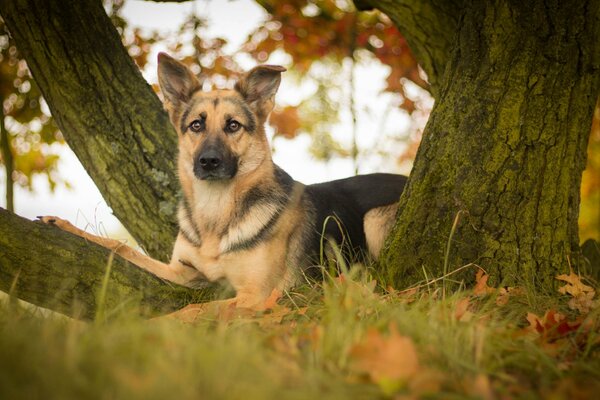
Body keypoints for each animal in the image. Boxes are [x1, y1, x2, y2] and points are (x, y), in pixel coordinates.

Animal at [42, 53, 408, 308]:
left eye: (233, 125)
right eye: (196, 125)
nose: (208, 162)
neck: (215, 214)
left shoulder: (256, 295)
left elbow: (198, 311)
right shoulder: (181, 273)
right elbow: (122, 248)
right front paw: (61, 225)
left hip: (375, 220)